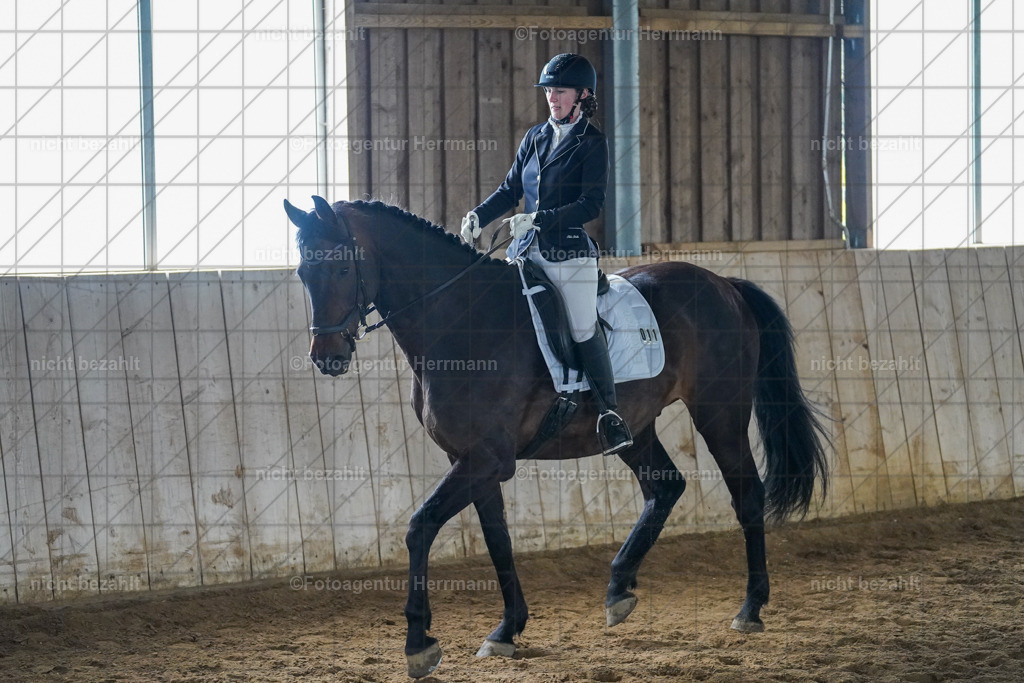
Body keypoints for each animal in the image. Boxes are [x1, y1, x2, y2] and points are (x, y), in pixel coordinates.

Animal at [283, 196, 829, 678]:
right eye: (303, 273)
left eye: (341, 271)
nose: (327, 357)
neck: (458, 319)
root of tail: (724, 284)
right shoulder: (476, 461)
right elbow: (498, 541)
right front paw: (506, 630)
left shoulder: (485, 460)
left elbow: (420, 527)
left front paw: (419, 644)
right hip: (636, 427)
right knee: (666, 487)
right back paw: (618, 589)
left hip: (720, 413)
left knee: (747, 496)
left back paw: (750, 608)